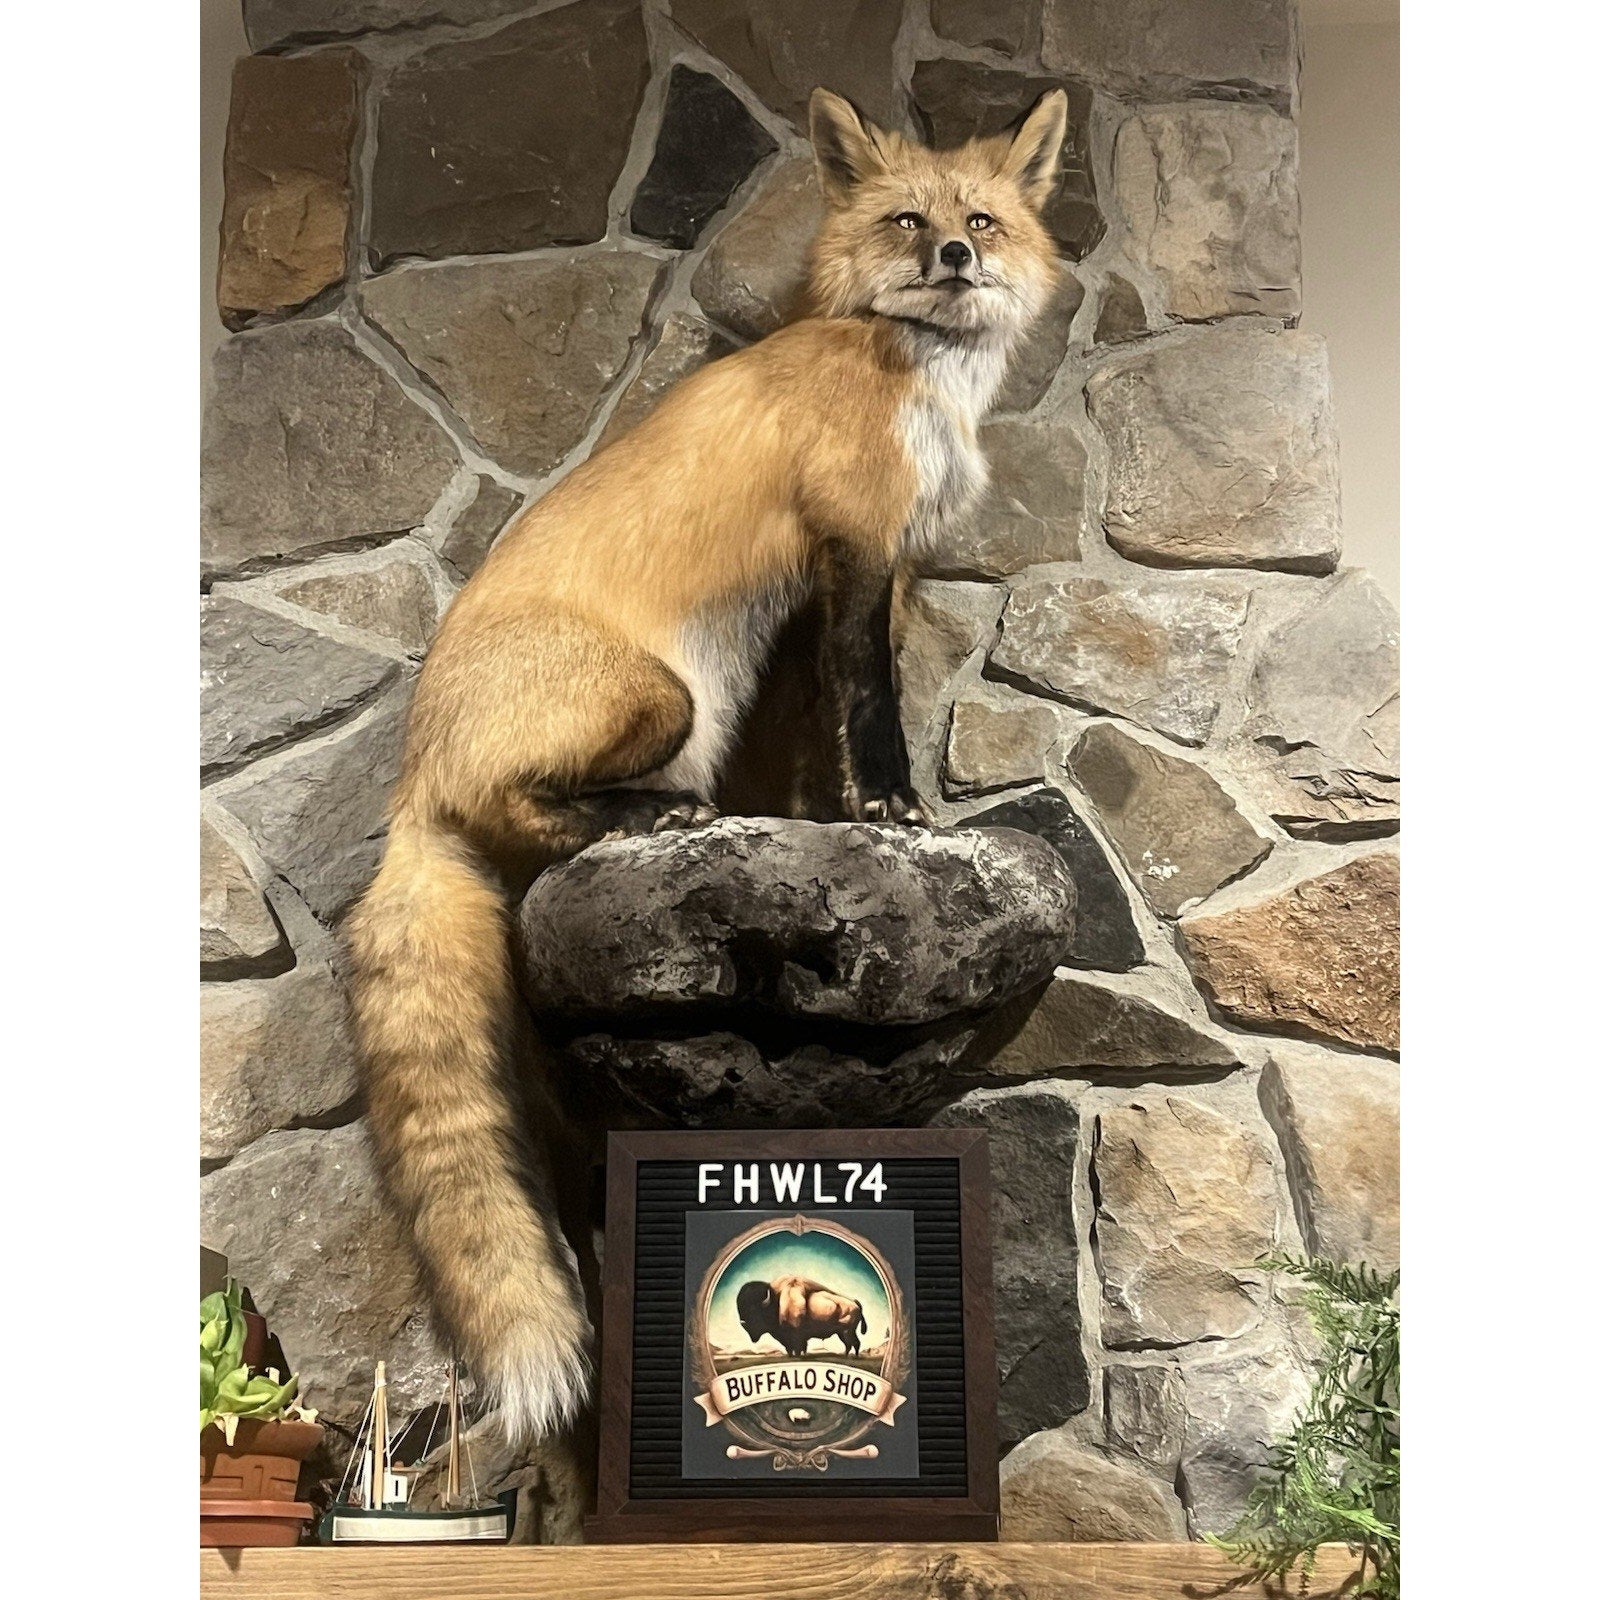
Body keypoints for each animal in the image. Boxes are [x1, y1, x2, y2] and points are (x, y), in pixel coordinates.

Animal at [345, 86, 1072, 1443]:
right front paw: (895, 810)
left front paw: (869, 809)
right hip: (665, 699)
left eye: (981, 218)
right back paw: (652, 824)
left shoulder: (864, 579)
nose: (956, 258)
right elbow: (868, 711)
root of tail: (410, 778)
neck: (906, 369)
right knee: (526, 814)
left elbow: (840, 712)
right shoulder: (851, 549)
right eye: (909, 219)